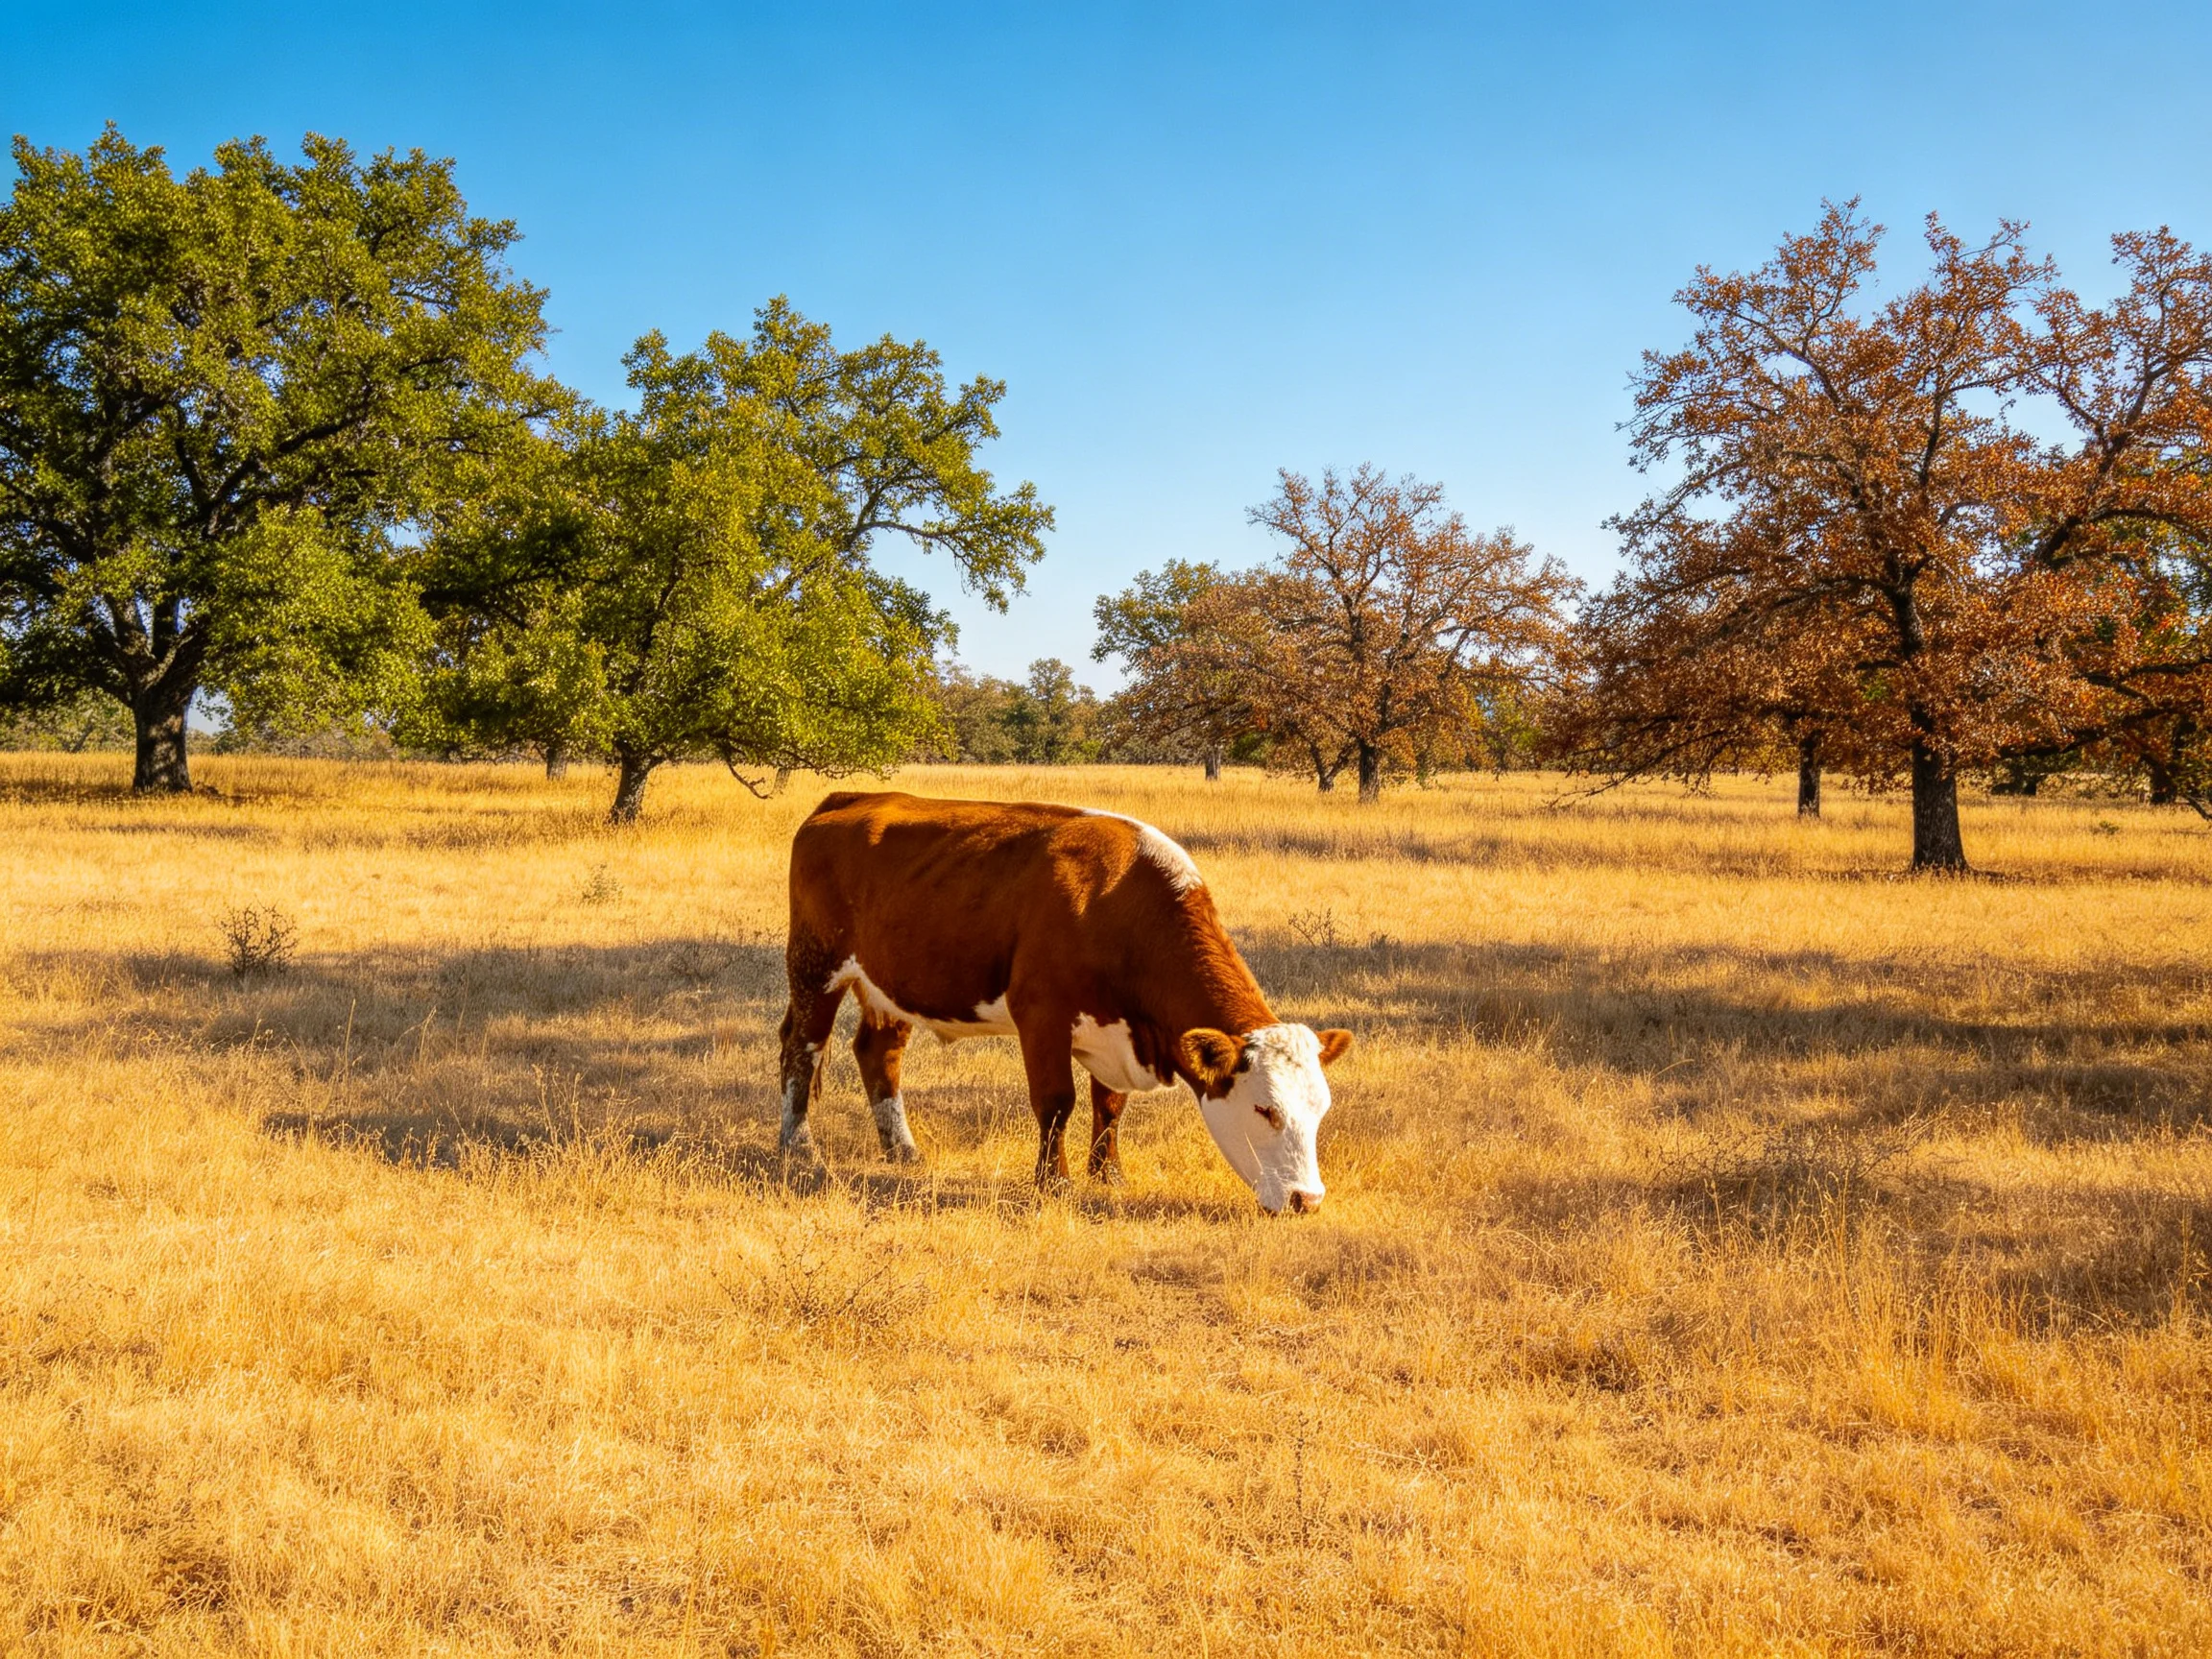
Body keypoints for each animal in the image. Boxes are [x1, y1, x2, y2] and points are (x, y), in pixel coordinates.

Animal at [775, 790, 1352, 1213]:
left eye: (1320, 1110)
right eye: (1265, 1109)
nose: (1307, 1200)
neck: (1115, 901)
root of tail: (850, 798)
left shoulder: (1113, 1029)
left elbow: (1111, 1104)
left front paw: (1109, 1174)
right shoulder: (1042, 1015)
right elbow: (1056, 1102)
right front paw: (1055, 1182)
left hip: (889, 986)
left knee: (879, 1053)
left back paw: (903, 1151)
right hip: (814, 965)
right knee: (802, 1049)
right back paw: (799, 1147)